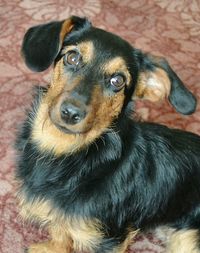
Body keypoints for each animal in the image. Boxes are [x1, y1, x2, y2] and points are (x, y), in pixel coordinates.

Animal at [14, 16, 199, 253]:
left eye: (117, 81)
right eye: (72, 57)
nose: (70, 113)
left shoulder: (109, 237)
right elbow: (60, 231)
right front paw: (53, 248)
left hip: (187, 240)